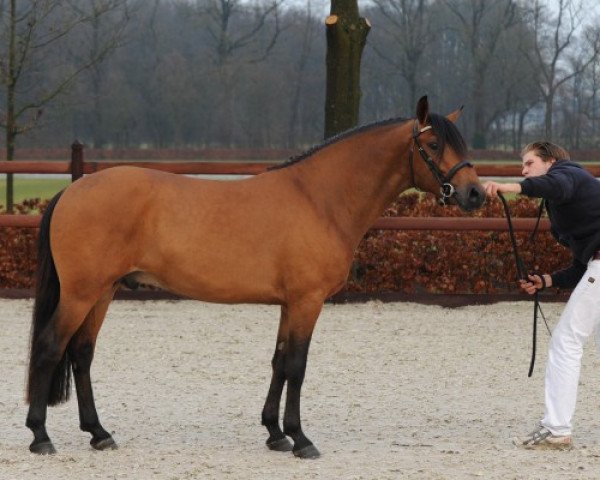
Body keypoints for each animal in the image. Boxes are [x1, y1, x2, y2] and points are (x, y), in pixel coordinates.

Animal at [24, 96, 488, 458]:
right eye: (433, 143)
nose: (475, 194)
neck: (319, 198)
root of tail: (71, 190)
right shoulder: (307, 301)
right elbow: (297, 366)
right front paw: (301, 439)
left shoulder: (289, 304)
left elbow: (279, 362)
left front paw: (275, 434)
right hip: (81, 294)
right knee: (49, 347)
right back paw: (41, 436)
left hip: (102, 293)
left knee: (81, 354)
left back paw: (99, 434)